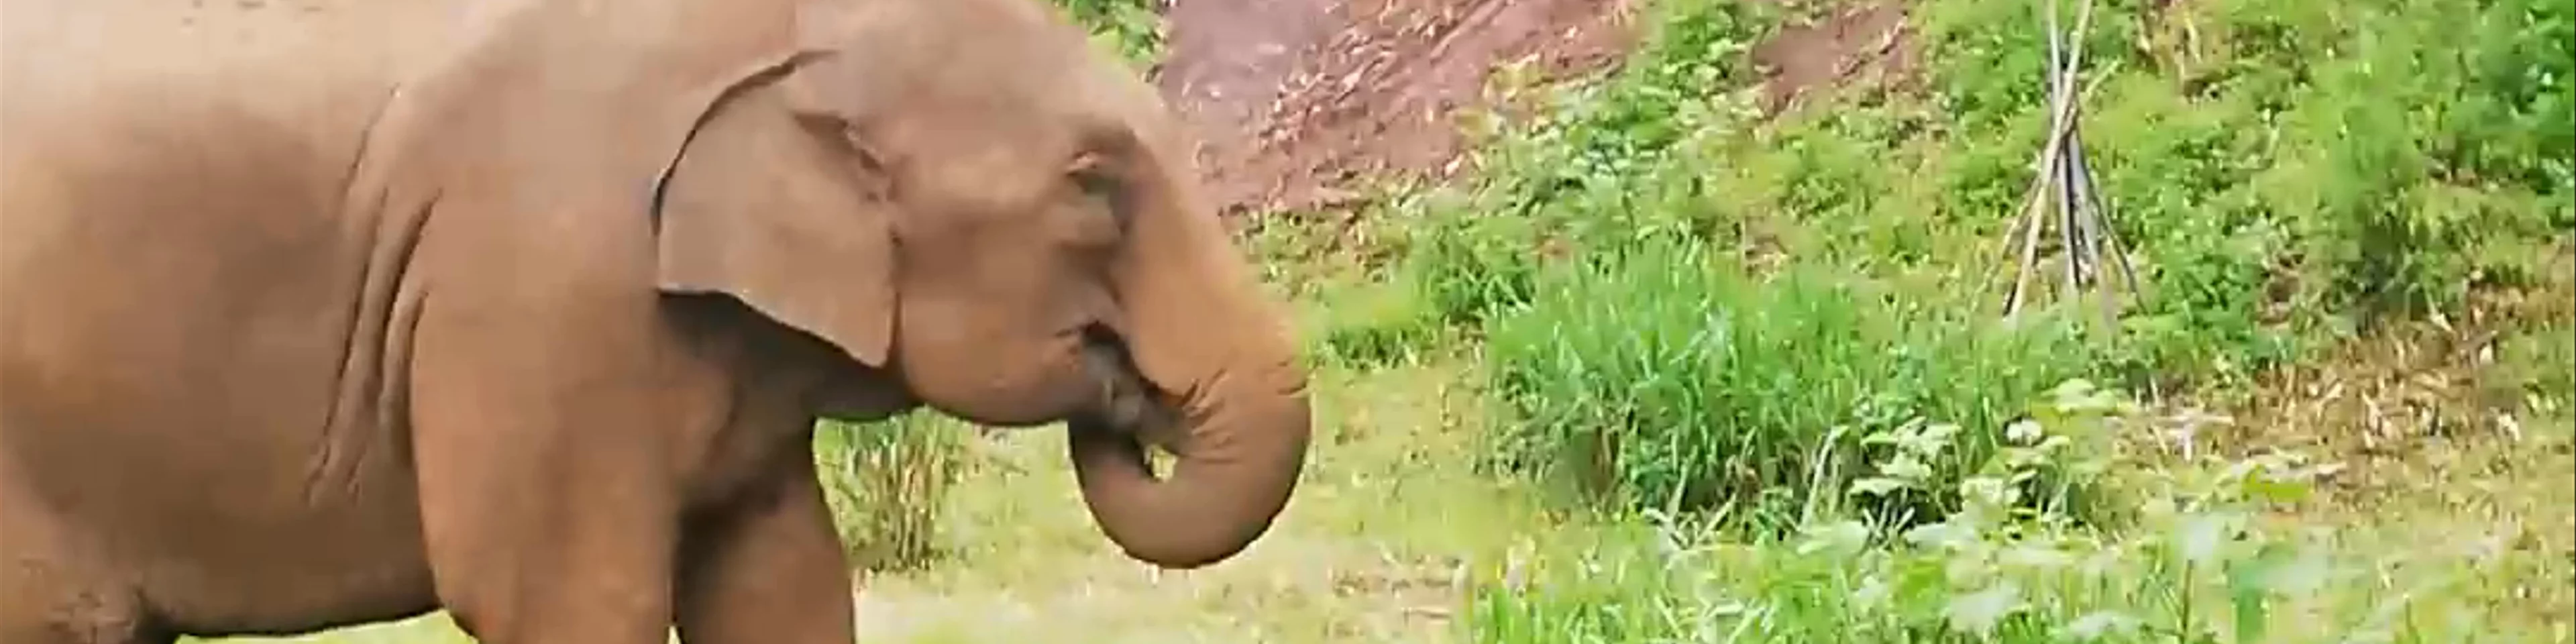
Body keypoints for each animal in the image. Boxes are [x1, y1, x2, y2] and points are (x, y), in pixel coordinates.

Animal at [0, 0, 1315, 641]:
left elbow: (781, 590)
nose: (1130, 397)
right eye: (1095, 185)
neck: (795, 33)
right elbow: (560, 605)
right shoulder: (540, 295)